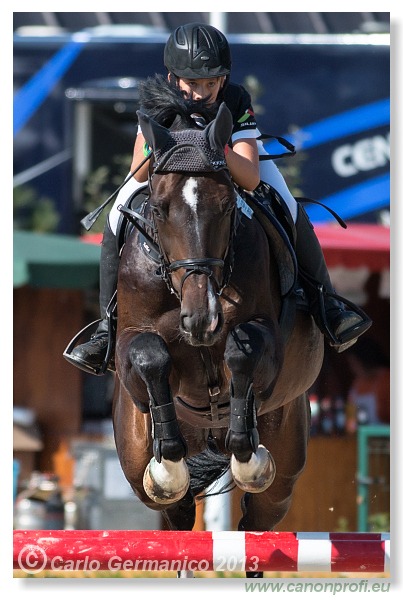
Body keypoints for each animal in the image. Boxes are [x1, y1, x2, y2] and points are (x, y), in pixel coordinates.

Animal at [111, 82, 326, 576]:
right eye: (159, 209)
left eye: (227, 206)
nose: (202, 319)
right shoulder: (131, 339)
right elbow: (150, 355)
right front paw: (168, 466)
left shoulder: (266, 339)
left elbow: (240, 355)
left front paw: (246, 453)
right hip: (134, 453)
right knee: (174, 513)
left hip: (286, 457)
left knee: (259, 521)